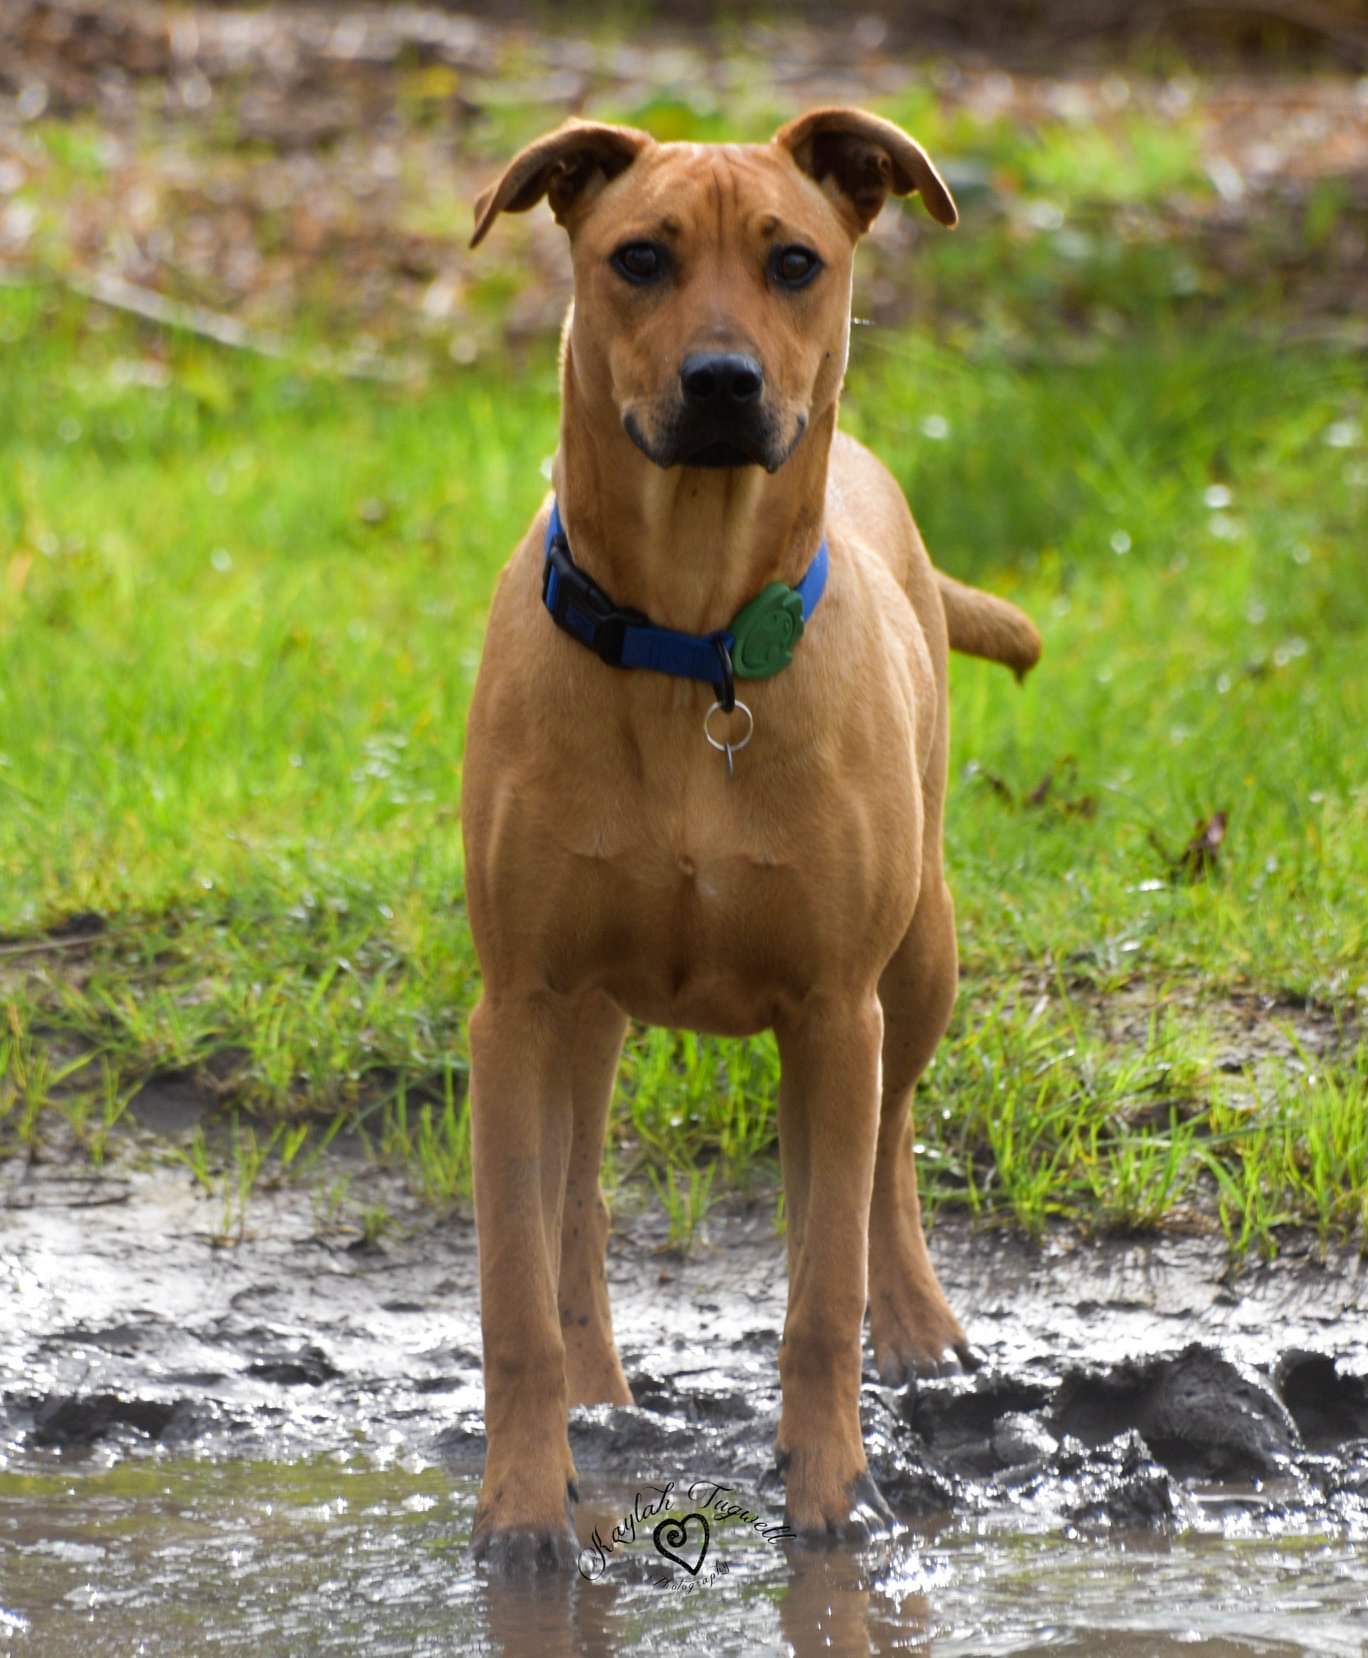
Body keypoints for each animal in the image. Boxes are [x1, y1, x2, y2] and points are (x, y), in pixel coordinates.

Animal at [462, 107, 1041, 1571]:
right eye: (639, 257)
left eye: (793, 261)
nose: (723, 383)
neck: (695, 648)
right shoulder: (518, 1002)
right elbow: (514, 1293)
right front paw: (525, 1501)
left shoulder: (835, 1003)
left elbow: (824, 1285)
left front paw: (834, 1489)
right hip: (586, 1016)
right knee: (577, 1197)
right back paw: (602, 1385)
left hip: (921, 958)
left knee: (882, 1151)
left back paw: (917, 1325)